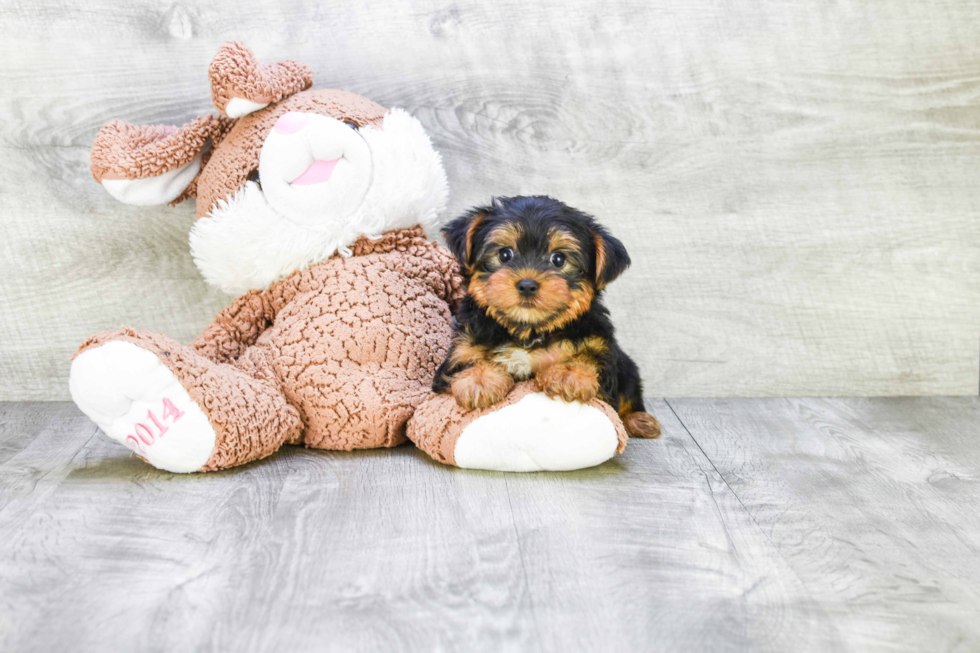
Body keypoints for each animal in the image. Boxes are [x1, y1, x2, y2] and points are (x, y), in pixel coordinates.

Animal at [432, 194, 664, 438]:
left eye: (558, 259)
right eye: (505, 254)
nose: (527, 285)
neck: (529, 330)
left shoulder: (599, 349)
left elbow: (589, 359)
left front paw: (567, 373)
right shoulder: (462, 347)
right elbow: (467, 361)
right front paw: (479, 379)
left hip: (628, 368)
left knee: (629, 396)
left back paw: (640, 420)